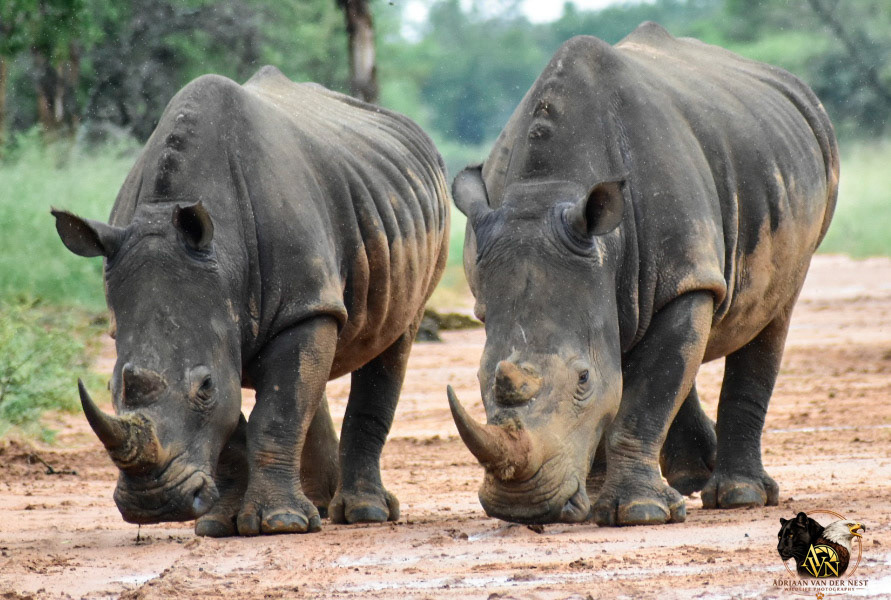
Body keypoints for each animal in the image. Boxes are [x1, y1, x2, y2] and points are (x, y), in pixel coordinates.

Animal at [52, 66, 449, 536]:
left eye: (203, 387)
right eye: (113, 388)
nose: (155, 505)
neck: (224, 258)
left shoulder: (297, 301)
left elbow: (274, 411)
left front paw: (281, 523)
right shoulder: (224, 316)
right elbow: (242, 421)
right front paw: (219, 525)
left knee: (392, 340)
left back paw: (362, 514)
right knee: (316, 359)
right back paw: (319, 506)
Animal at [448, 23, 838, 526]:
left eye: (582, 379)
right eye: (479, 378)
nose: (522, 507)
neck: (549, 189)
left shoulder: (685, 272)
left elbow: (644, 395)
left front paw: (640, 512)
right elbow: (637, 378)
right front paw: (595, 502)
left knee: (771, 311)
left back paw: (740, 496)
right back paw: (689, 480)